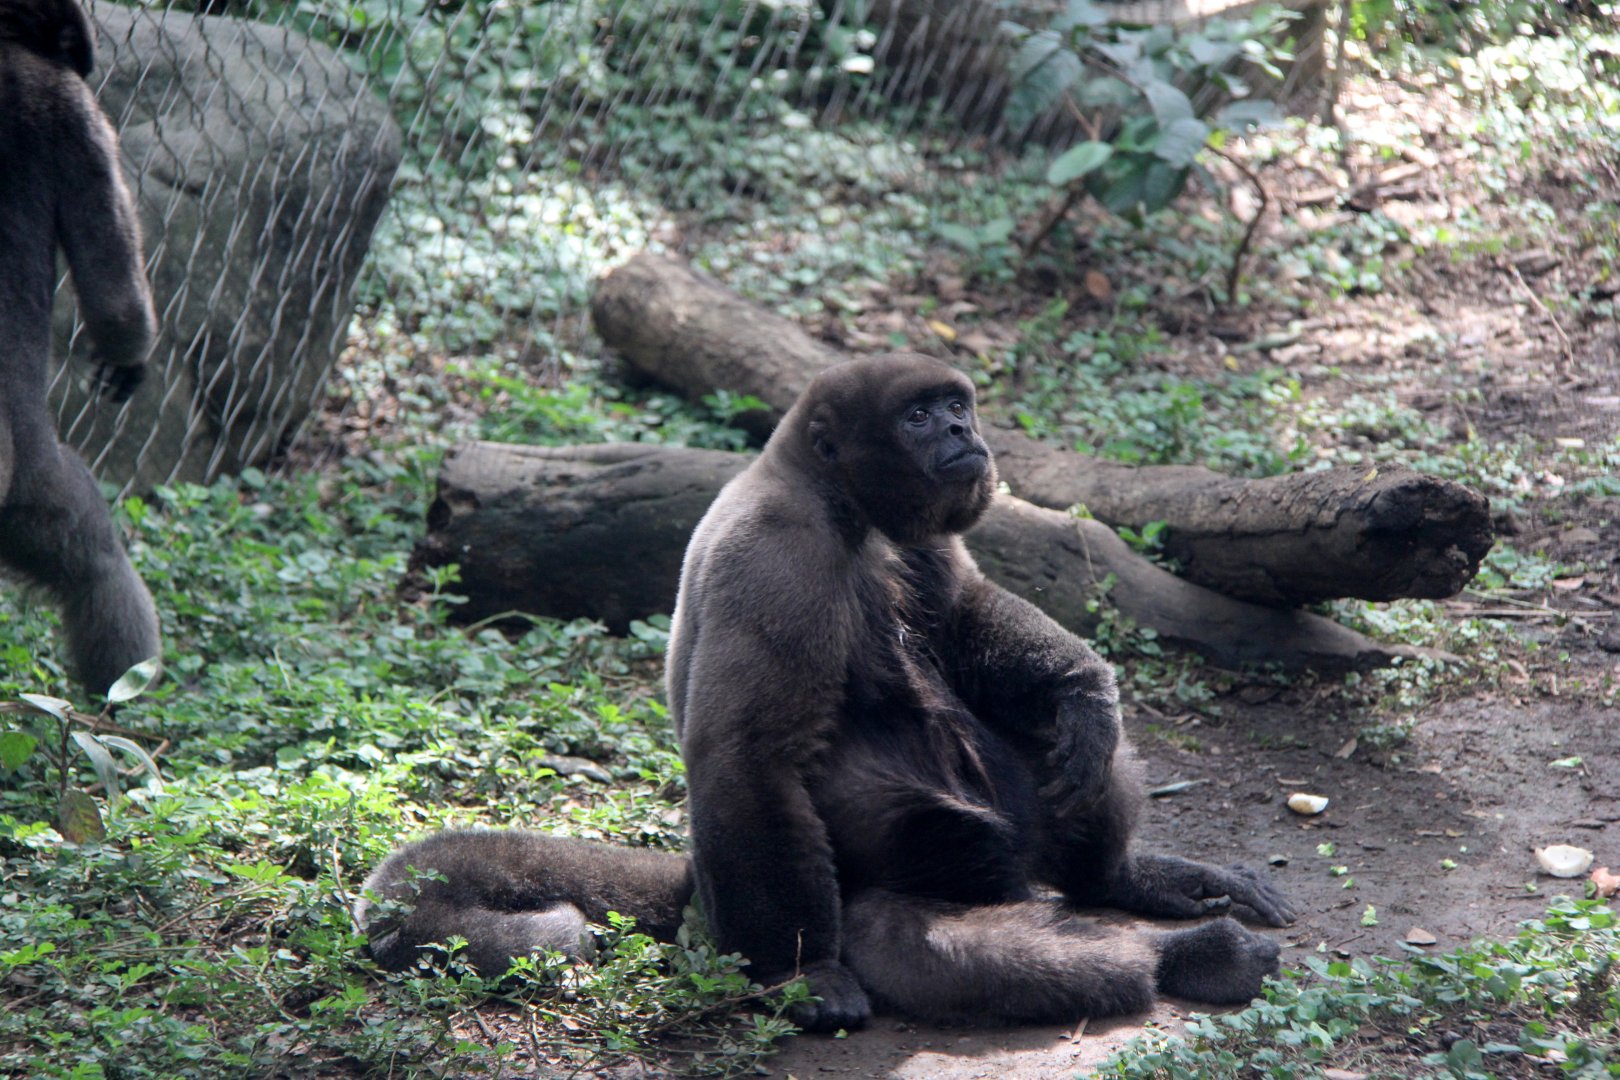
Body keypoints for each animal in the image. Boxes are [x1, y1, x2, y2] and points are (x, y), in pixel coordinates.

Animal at [359, 353, 1294, 1031]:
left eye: (956, 406)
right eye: (918, 416)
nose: (961, 427)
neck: (841, 502)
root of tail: (703, 889)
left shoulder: (923, 541)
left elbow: (967, 616)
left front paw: (1081, 682)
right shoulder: (778, 559)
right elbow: (746, 752)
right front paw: (802, 975)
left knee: (1072, 760)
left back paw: (1128, 880)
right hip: (876, 885)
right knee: (939, 946)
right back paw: (1184, 958)